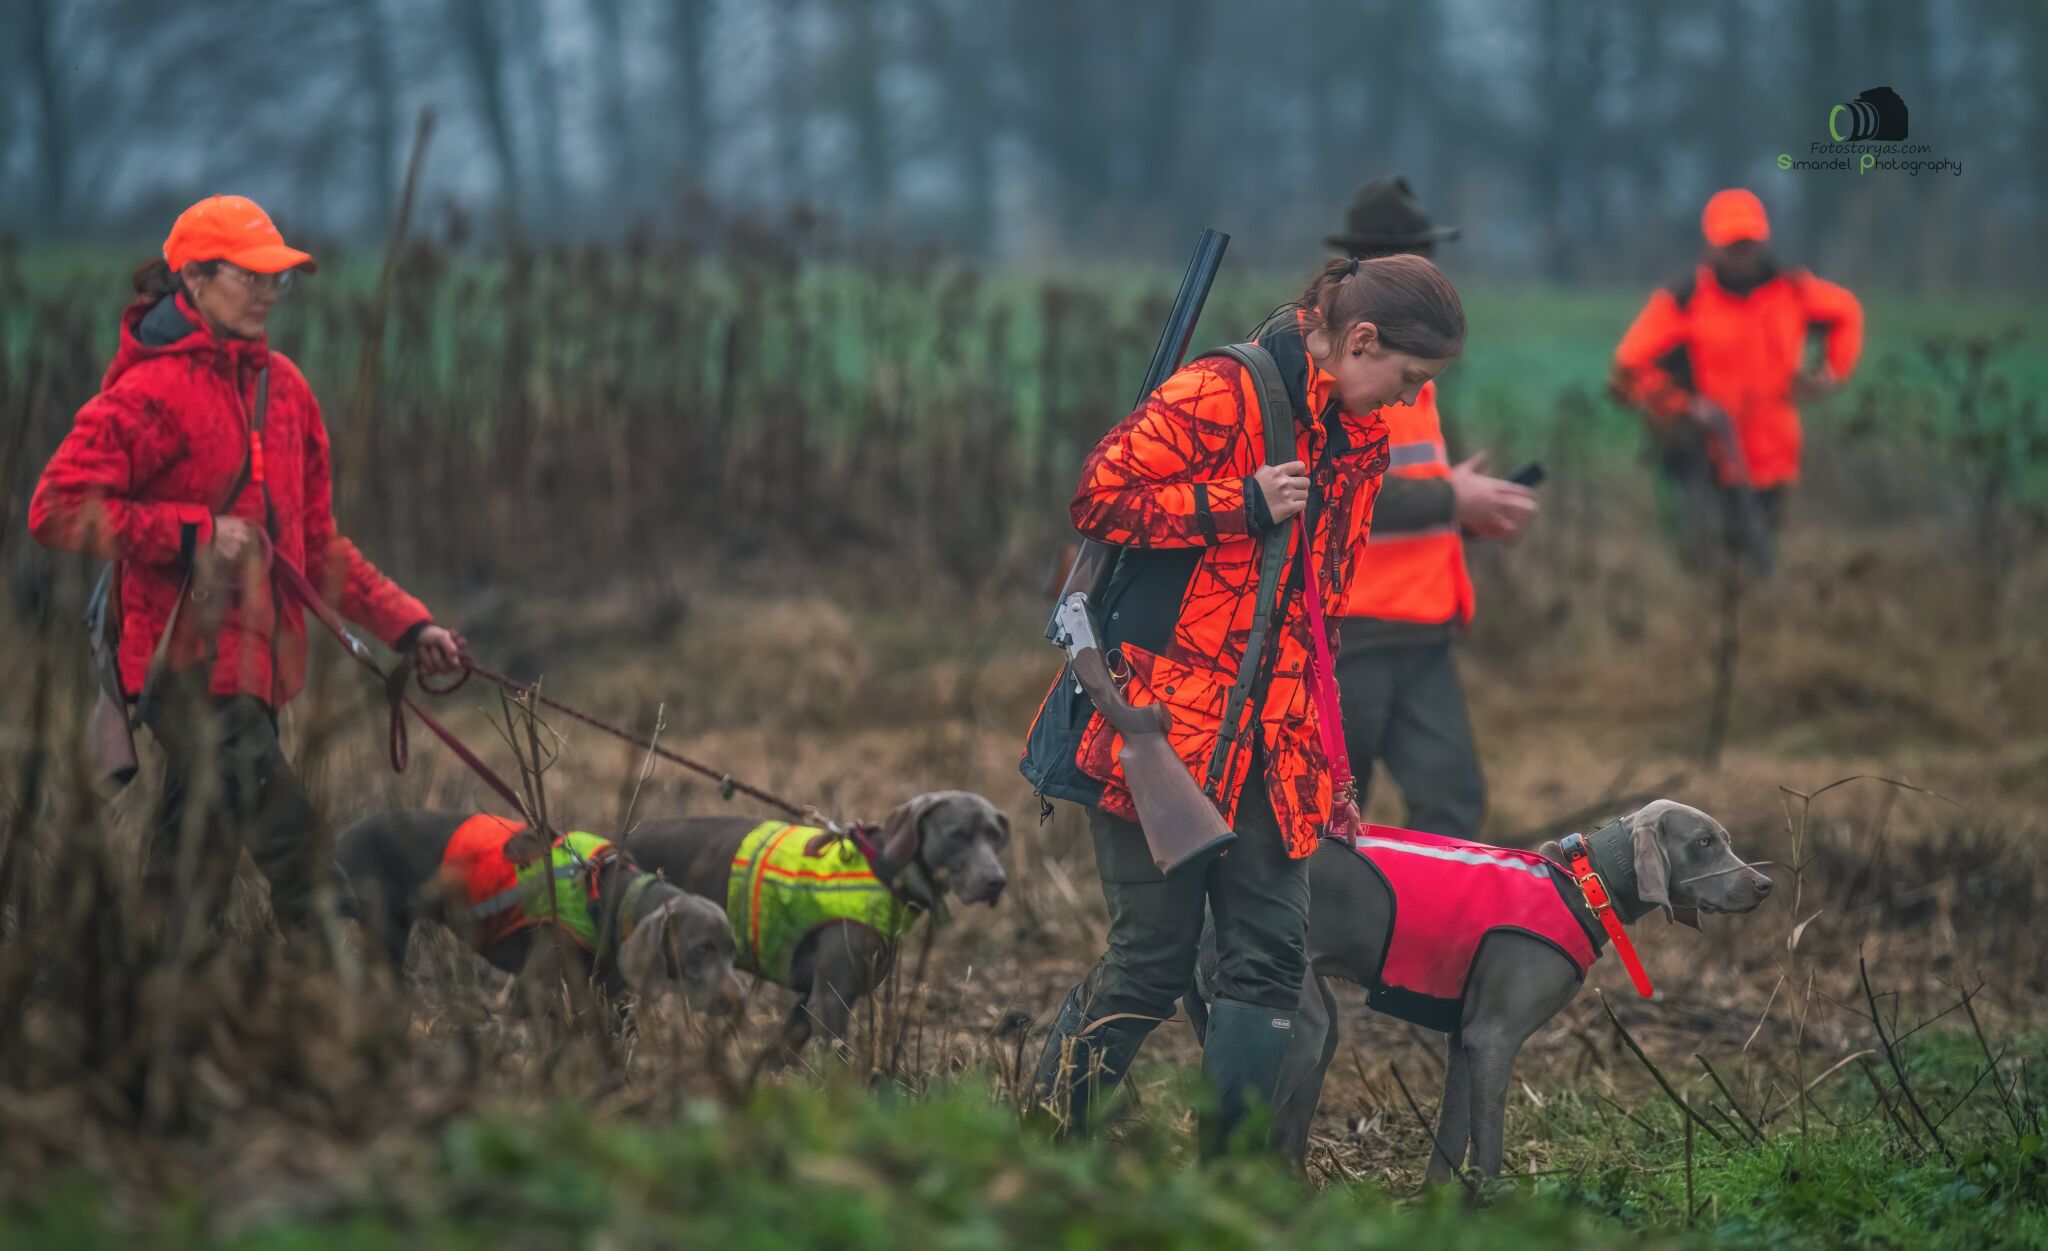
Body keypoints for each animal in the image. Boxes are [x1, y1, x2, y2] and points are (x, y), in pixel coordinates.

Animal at [335, 810, 742, 1018]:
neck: (609, 895)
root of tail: (343, 831)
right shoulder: (535, 990)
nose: (740, 1004)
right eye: (701, 949)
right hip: (385, 935)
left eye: (732, 951)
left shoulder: (608, 997)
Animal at [625, 791, 1009, 1059]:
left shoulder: (806, 1002)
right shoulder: (830, 1000)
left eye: (994, 836)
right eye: (957, 835)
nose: (997, 881)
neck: (882, 869)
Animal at [1191, 800, 1772, 1179]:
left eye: (1723, 840)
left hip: (1316, 1027)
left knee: (1284, 1138)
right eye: (1703, 843)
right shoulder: (1494, 1038)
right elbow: (1487, 1145)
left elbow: (1449, 1143)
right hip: (1301, 1026)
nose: (1766, 884)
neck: (1580, 885)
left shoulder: (1462, 1040)